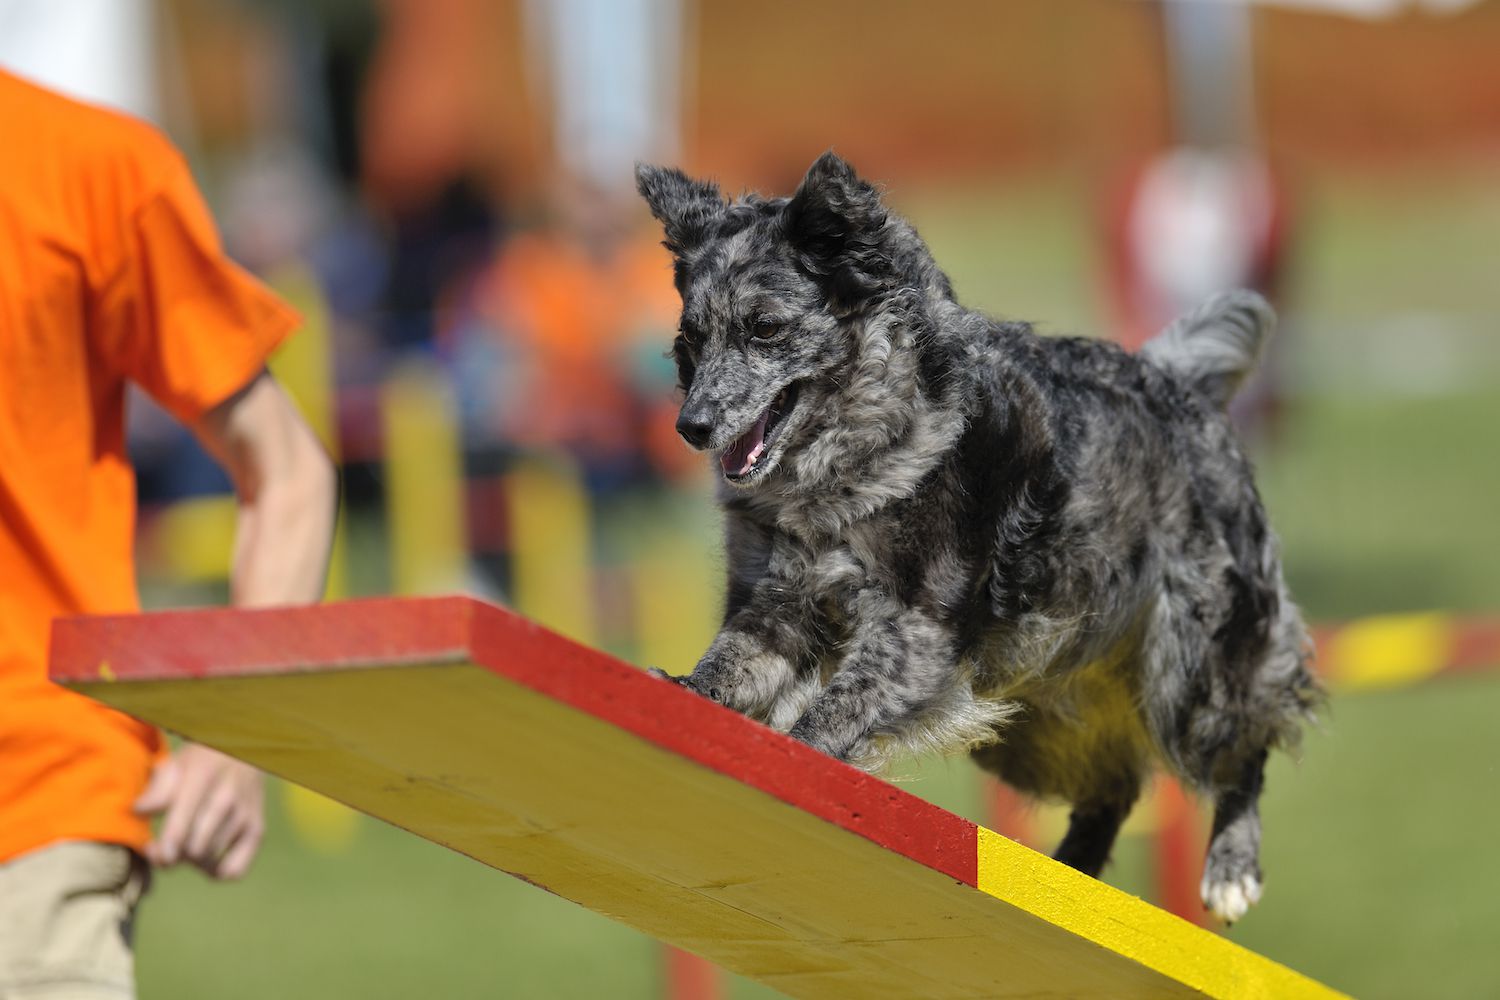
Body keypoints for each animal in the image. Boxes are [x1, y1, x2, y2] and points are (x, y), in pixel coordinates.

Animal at [639, 150, 1320, 923]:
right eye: (693, 340)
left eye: (764, 328)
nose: (691, 427)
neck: (850, 460)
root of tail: (1179, 383)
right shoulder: (778, 603)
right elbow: (728, 665)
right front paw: (680, 691)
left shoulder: (917, 634)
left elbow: (830, 710)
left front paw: (796, 750)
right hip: (1035, 716)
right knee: (1112, 786)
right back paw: (1072, 882)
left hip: (1190, 674)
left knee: (1246, 741)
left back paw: (1230, 871)